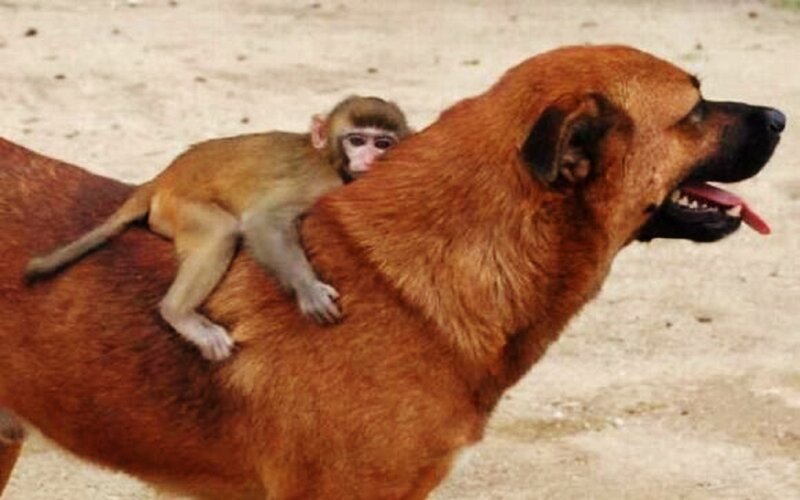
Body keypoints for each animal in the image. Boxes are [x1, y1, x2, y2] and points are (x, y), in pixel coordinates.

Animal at [24, 96, 411, 361]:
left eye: (383, 143)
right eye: (357, 140)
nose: (370, 159)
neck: (329, 159)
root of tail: (163, 178)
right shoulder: (319, 182)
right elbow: (263, 221)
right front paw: (308, 289)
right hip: (180, 208)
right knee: (221, 230)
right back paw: (178, 312)